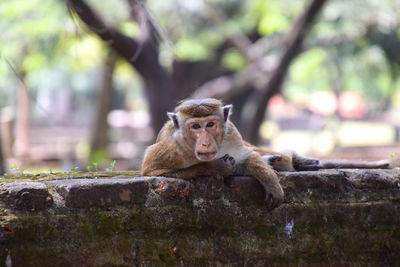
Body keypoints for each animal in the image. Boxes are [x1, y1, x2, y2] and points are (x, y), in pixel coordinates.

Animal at [141, 98, 284, 209]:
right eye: (196, 126)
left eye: (210, 124)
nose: (206, 143)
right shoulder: (170, 149)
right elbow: (154, 172)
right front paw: (218, 167)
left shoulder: (232, 134)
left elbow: (246, 157)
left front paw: (270, 181)